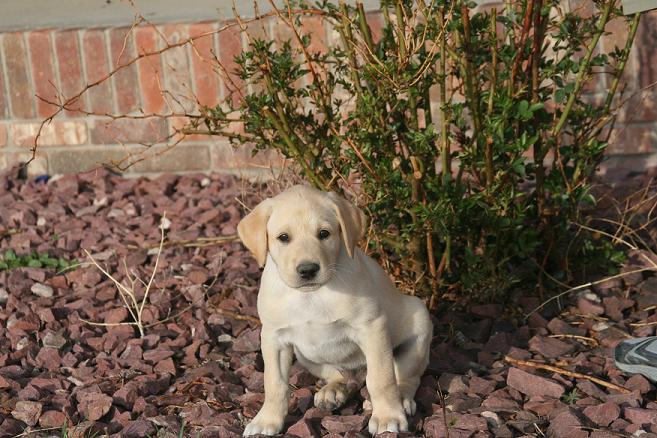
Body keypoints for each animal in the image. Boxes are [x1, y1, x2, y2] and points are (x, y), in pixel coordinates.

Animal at [238, 184, 434, 434]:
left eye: (324, 234)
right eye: (283, 237)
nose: (308, 270)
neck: (311, 295)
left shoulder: (372, 328)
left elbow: (381, 378)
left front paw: (387, 416)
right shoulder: (274, 338)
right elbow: (274, 384)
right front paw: (267, 420)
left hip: (418, 324)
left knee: (406, 376)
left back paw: (402, 398)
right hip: (306, 357)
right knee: (339, 376)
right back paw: (332, 391)